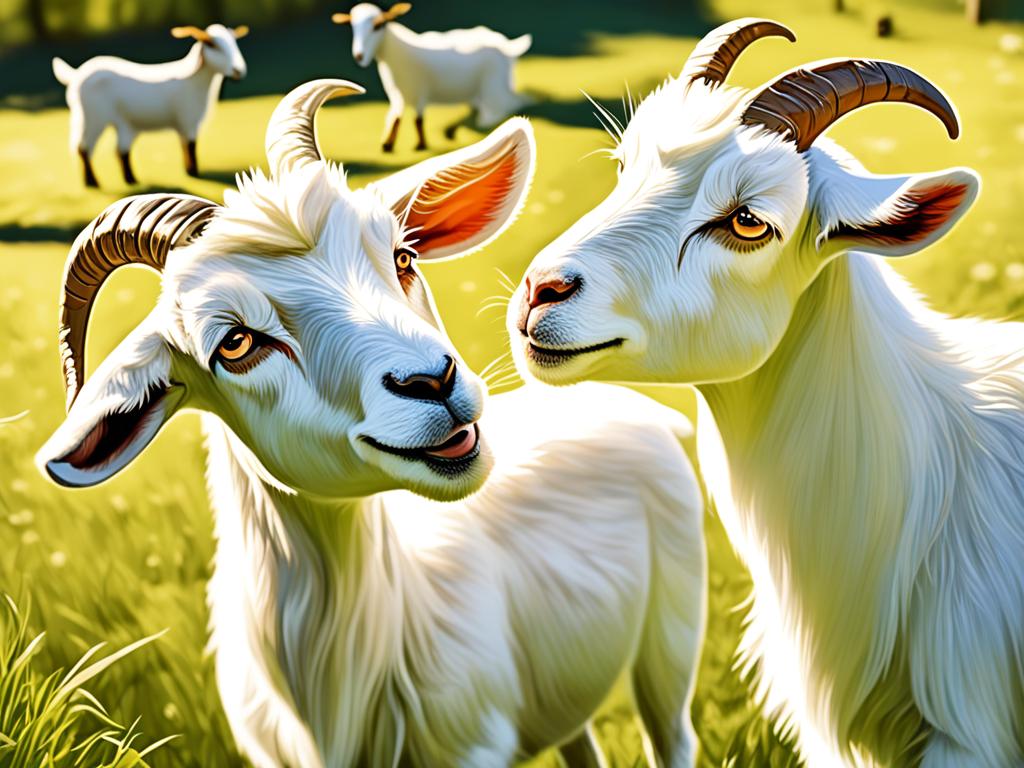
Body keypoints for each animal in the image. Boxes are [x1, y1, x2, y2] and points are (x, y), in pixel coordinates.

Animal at [52, 24, 248, 188]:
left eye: (234, 43)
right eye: (212, 45)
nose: (239, 71)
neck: (194, 80)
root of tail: (76, 74)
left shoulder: (183, 124)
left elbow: (185, 146)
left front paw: (188, 171)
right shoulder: (188, 119)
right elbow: (192, 146)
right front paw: (194, 173)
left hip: (119, 123)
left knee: (120, 151)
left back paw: (130, 180)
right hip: (93, 118)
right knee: (84, 148)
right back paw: (93, 182)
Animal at [332, 3, 532, 152]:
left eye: (379, 25)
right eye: (352, 26)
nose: (359, 56)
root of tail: (507, 45)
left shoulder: (420, 92)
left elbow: (418, 121)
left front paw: (421, 145)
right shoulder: (397, 95)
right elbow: (396, 119)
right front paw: (387, 144)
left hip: (494, 87)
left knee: (507, 106)